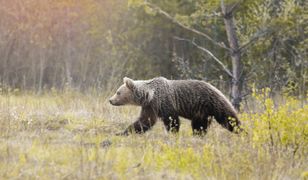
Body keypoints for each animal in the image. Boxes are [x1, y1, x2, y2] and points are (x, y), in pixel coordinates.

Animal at [109, 76, 242, 136]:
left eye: (118, 92)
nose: (110, 100)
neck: (150, 95)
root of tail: (217, 89)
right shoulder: (151, 106)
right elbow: (145, 121)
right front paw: (123, 132)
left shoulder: (165, 102)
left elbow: (172, 120)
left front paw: (173, 133)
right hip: (201, 111)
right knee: (199, 125)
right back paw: (198, 134)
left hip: (212, 103)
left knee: (229, 119)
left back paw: (241, 132)